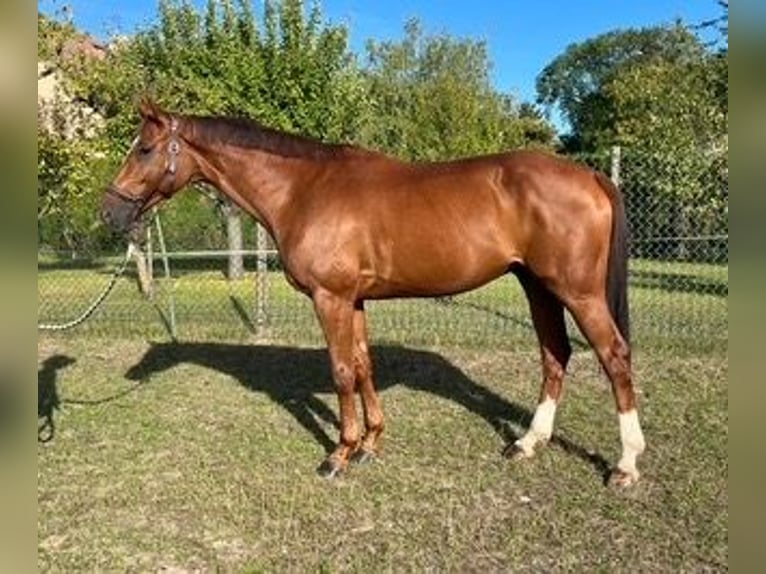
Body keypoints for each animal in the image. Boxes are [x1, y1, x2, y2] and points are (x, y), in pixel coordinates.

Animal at [101, 100, 645, 487]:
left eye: (144, 149)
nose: (110, 212)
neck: (303, 189)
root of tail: (590, 175)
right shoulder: (354, 300)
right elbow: (364, 365)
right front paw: (370, 445)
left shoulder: (331, 299)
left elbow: (342, 371)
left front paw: (338, 455)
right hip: (538, 287)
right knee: (555, 355)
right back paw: (528, 443)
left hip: (578, 292)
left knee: (614, 357)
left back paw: (625, 465)